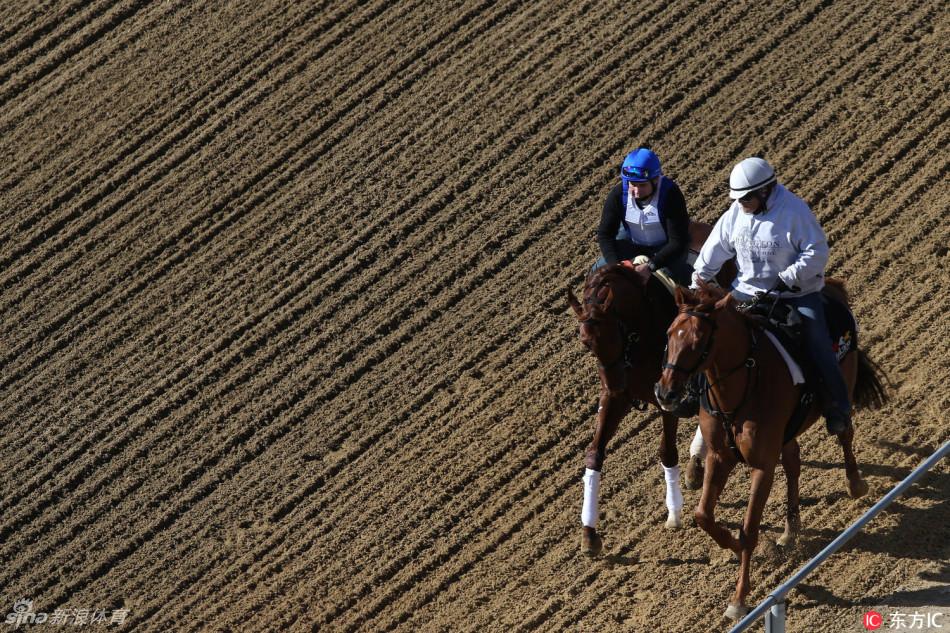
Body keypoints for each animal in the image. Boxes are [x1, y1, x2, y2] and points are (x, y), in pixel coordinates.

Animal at [652, 282, 888, 616]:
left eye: (698, 341)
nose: (665, 392)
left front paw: (739, 598)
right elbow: (703, 515)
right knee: (793, 462)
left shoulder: (762, 466)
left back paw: (855, 483)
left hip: (843, 381)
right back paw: (790, 530)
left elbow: (749, 529)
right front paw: (734, 547)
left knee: (844, 432)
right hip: (785, 435)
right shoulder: (719, 457)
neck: (743, 388)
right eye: (670, 332)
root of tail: (832, 288)